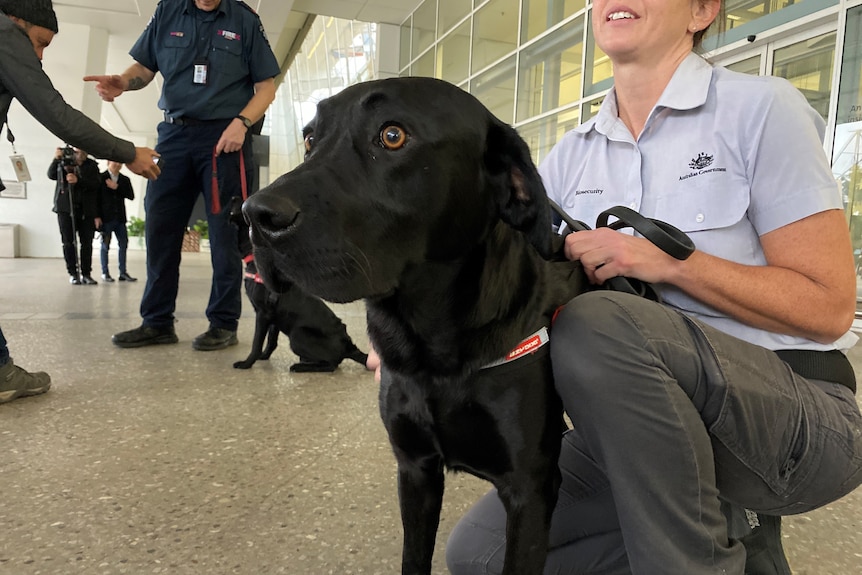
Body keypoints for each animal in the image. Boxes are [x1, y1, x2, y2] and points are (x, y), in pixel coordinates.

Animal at [230, 198, 368, 372]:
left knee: (331, 364)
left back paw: (300, 366)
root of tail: (347, 345)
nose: (234, 197)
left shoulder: (263, 314)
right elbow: (271, 342)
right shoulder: (274, 318)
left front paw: (247, 363)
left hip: (297, 334)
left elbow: (257, 343)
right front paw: (264, 356)